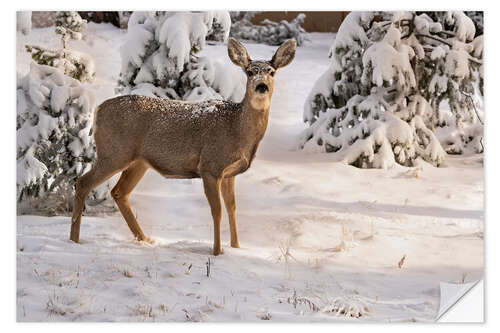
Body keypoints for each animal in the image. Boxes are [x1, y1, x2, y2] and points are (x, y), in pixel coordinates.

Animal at [70, 37, 296, 254]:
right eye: (249, 72)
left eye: (271, 72)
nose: (261, 86)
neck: (238, 131)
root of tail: (98, 110)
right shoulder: (210, 166)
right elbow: (217, 211)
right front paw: (217, 252)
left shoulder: (229, 173)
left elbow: (232, 208)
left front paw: (237, 247)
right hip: (114, 152)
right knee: (83, 183)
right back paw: (74, 240)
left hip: (138, 162)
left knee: (119, 192)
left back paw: (145, 239)